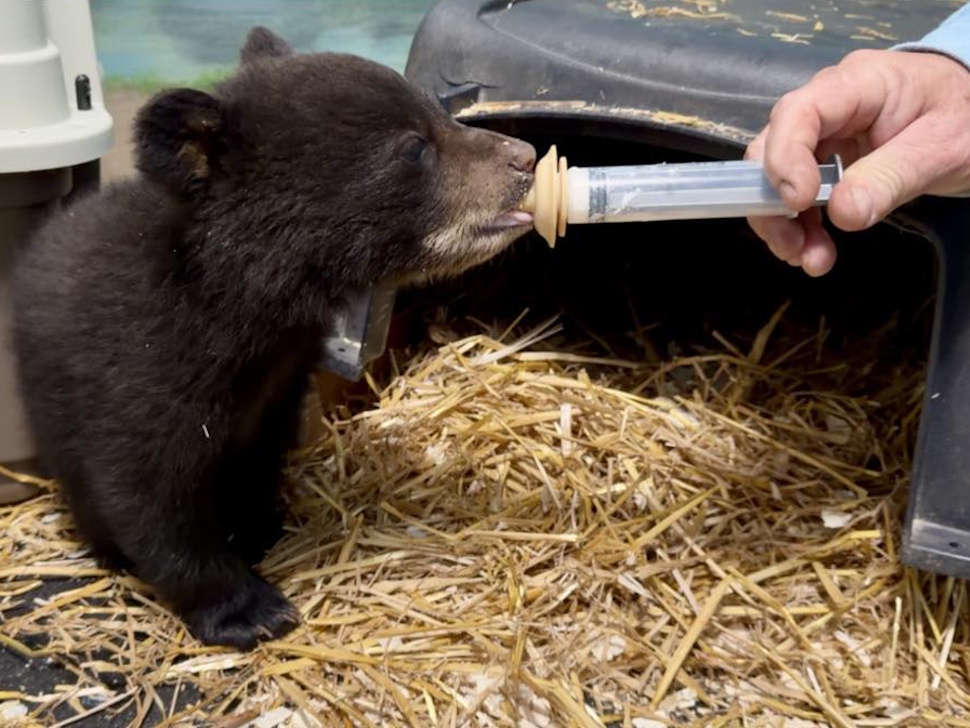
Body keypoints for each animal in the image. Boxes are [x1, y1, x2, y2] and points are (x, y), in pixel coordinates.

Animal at [8, 26, 536, 650]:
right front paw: (249, 608)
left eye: (436, 112)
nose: (525, 157)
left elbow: (260, 453)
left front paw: (260, 524)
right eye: (414, 147)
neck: (248, 310)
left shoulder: (281, 378)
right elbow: (147, 493)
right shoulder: (142, 367)